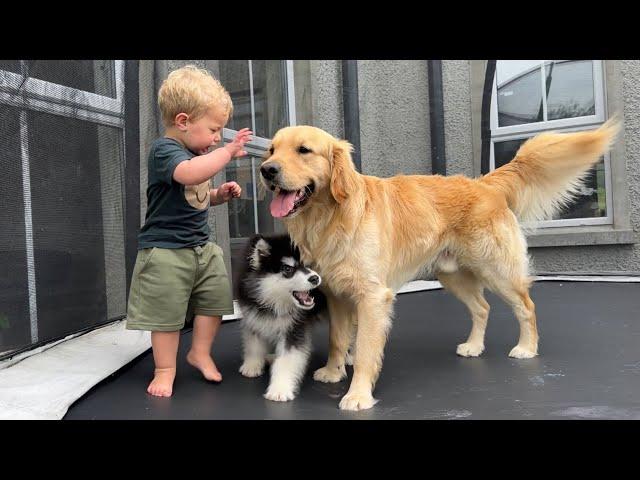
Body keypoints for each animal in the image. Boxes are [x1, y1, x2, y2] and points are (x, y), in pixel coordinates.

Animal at [236, 232, 328, 402]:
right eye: (287, 268)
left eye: (309, 264)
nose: (315, 279)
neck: (272, 303)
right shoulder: (254, 318)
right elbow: (253, 344)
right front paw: (253, 364)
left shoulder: (293, 330)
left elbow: (285, 361)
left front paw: (280, 389)